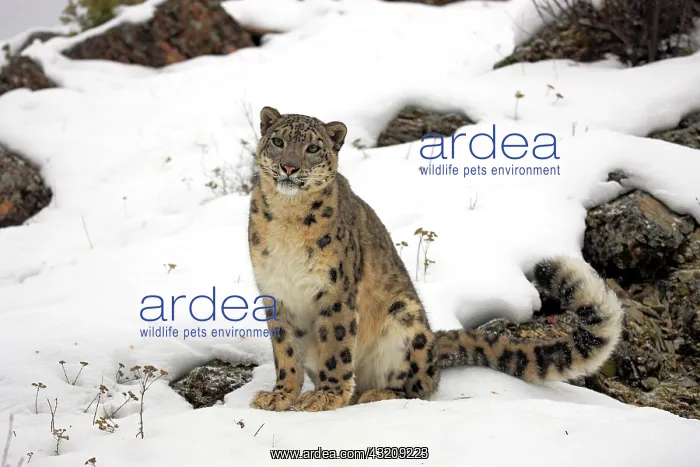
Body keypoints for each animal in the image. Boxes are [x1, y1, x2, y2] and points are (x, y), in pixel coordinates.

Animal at [246, 106, 623, 412]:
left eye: (312, 147)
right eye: (277, 141)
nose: (289, 166)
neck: (287, 219)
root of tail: (433, 342)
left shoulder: (335, 292)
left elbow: (336, 346)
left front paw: (325, 396)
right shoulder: (276, 294)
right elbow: (286, 351)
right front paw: (280, 396)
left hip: (405, 319)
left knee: (419, 387)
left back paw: (376, 394)